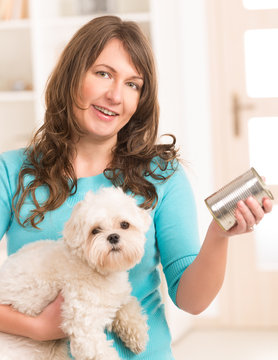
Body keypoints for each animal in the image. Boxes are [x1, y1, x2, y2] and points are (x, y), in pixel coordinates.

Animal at [0, 187, 152, 358]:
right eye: (95, 230)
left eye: (124, 224)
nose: (113, 237)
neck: (93, 267)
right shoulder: (84, 328)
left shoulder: (116, 296)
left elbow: (128, 307)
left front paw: (138, 334)